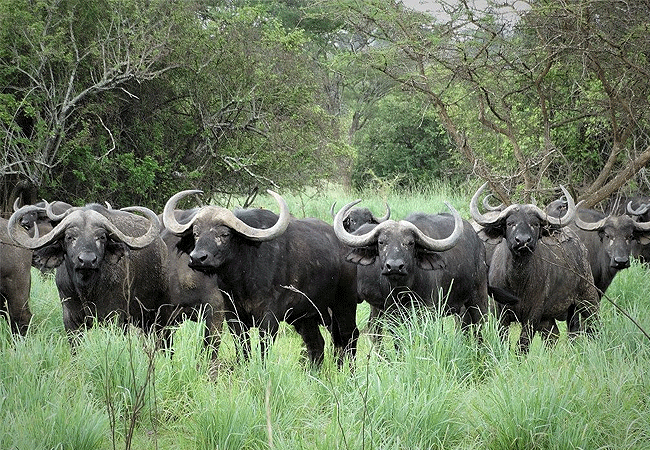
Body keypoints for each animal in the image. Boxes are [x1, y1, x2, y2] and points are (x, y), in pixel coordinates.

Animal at [160, 188, 356, 368]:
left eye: (224, 234)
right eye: (196, 233)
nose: (197, 258)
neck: (244, 278)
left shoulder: (269, 318)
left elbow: (263, 350)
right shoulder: (233, 316)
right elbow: (243, 348)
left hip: (343, 307)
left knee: (349, 338)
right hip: (305, 317)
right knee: (316, 345)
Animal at [334, 199, 486, 346]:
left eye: (410, 243)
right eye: (381, 242)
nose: (394, 266)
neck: (405, 289)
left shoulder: (428, 311)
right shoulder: (392, 313)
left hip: (478, 296)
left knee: (481, 324)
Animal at [466, 185, 596, 354]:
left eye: (535, 224)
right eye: (510, 223)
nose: (522, 241)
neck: (518, 282)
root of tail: (581, 247)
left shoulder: (534, 313)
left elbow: (523, 344)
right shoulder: (500, 312)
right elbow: (504, 340)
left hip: (588, 297)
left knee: (592, 326)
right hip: (551, 317)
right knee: (554, 335)